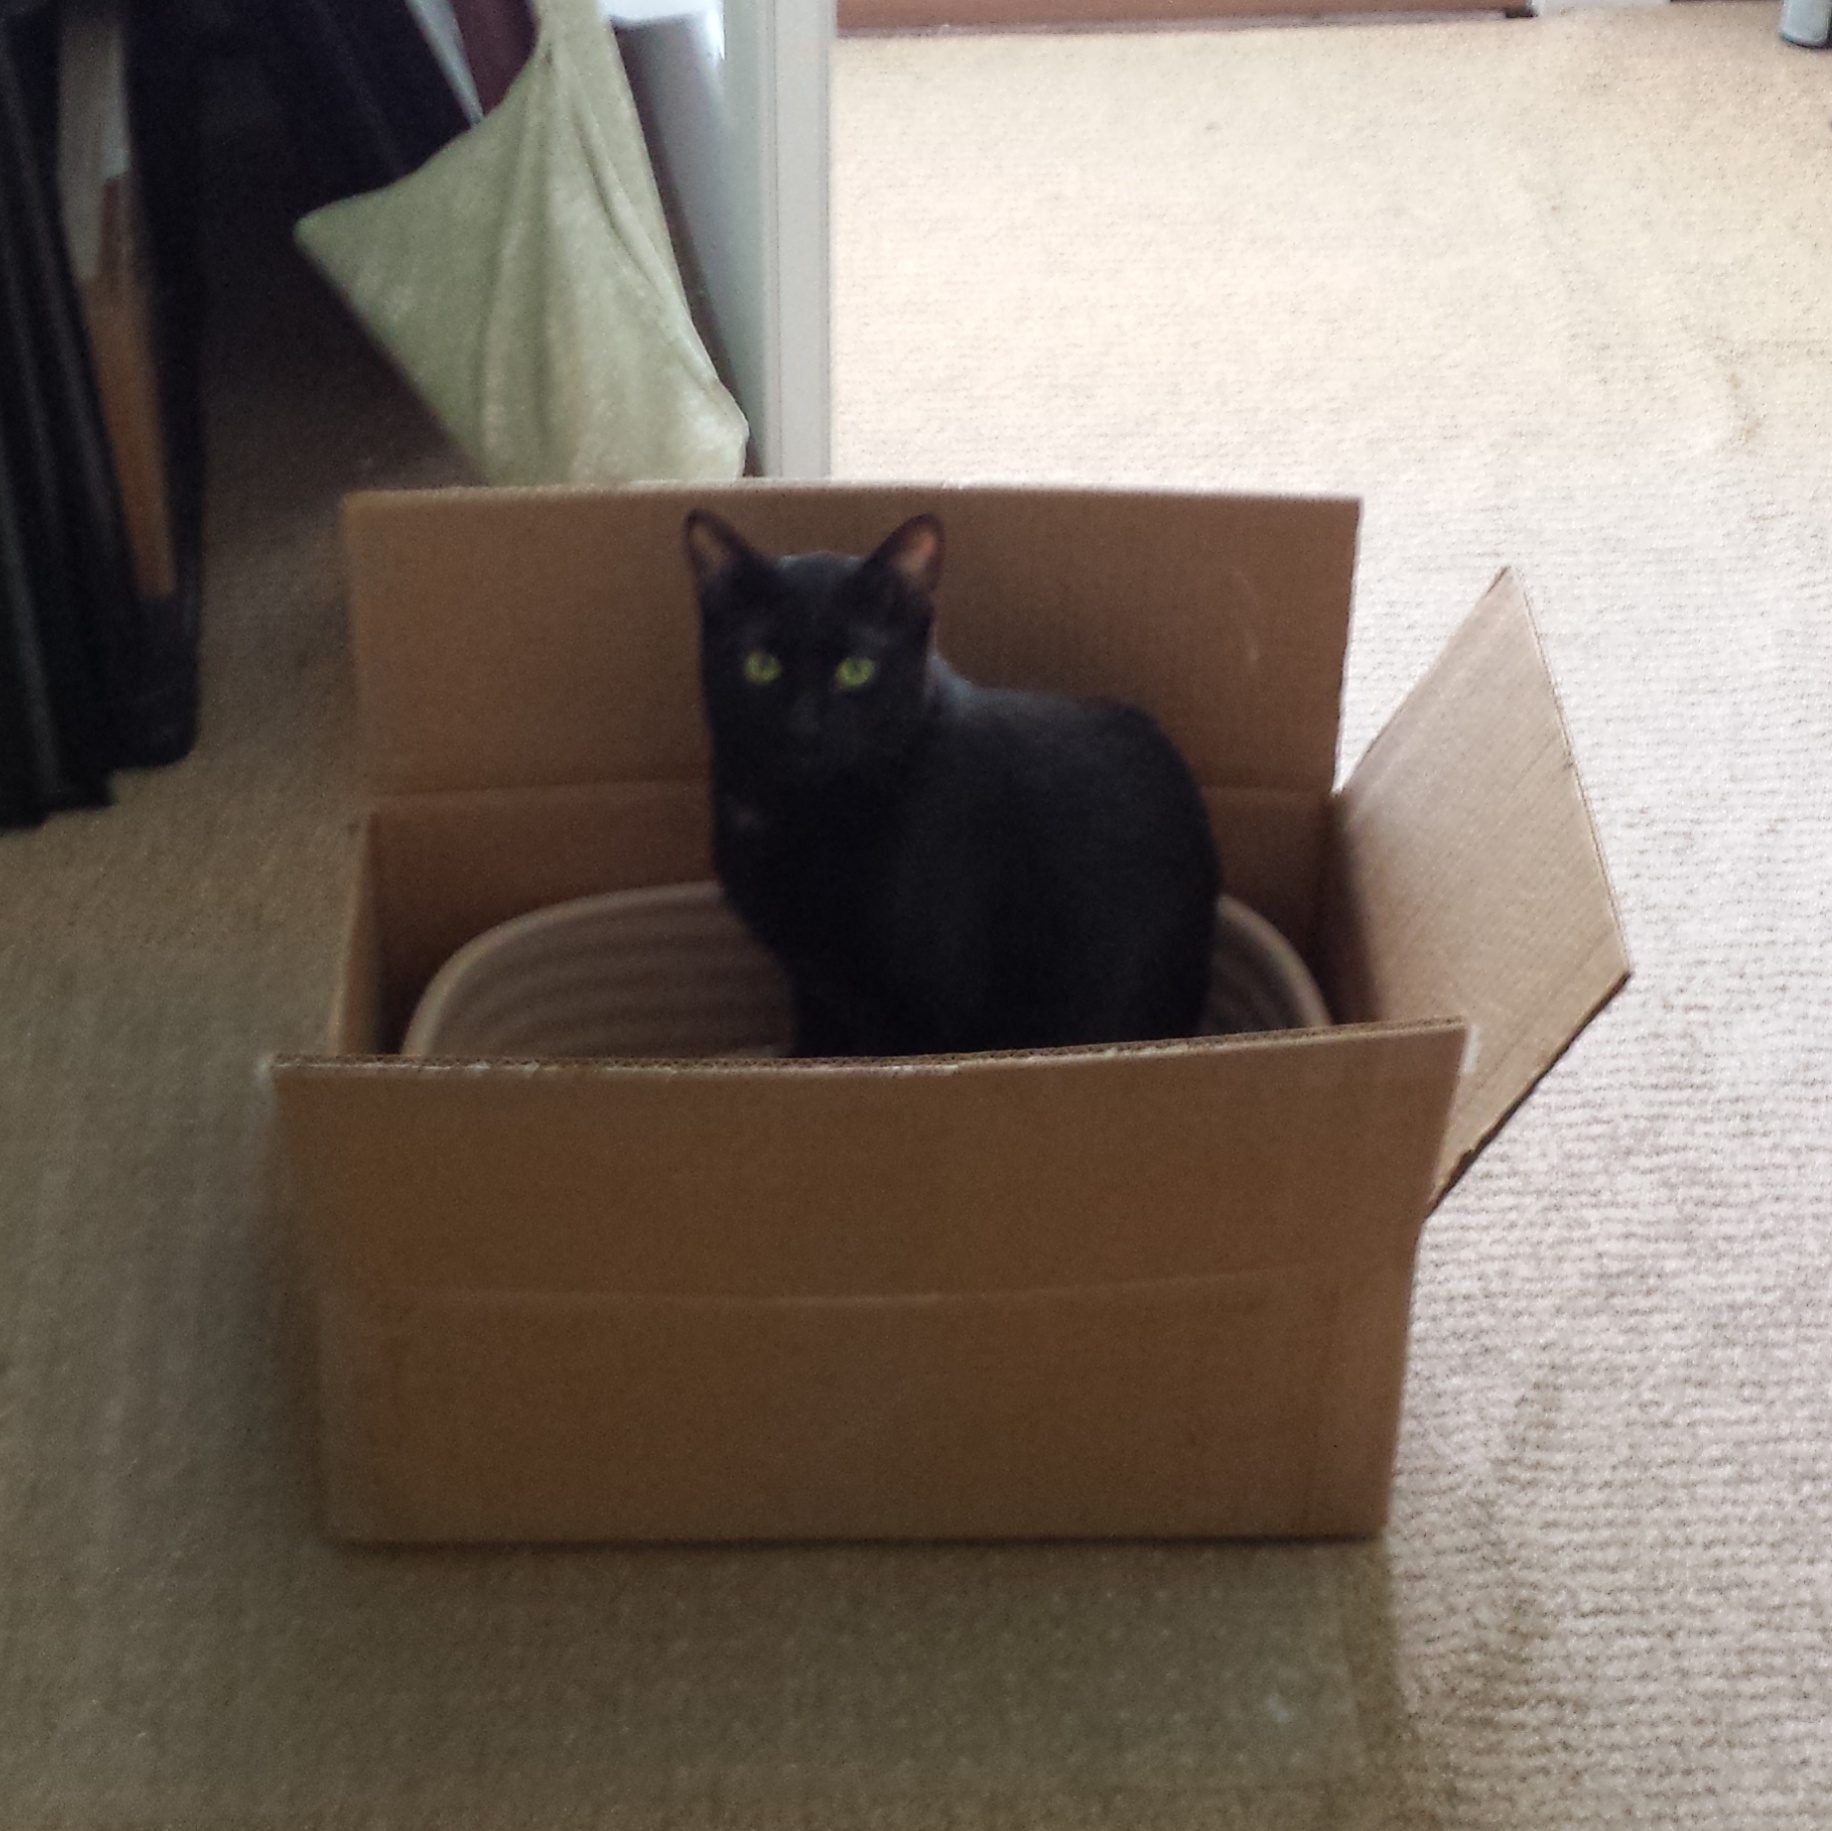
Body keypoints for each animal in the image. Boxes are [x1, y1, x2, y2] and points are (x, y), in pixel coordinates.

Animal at [685, 513, 1216, 1063]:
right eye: (760, 665)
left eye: (856, 669)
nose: (803, 727)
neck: (807, 811)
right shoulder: (815, 984)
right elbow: (816, 1043)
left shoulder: (933, 1005)